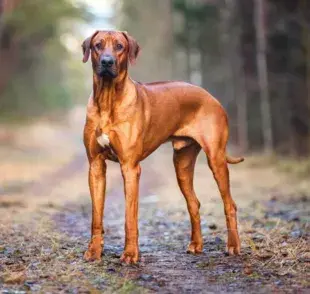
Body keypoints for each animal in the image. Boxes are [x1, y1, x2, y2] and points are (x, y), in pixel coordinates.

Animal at [81, 30, 245, 264]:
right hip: (182, 164)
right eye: (98, 45)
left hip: (216, 158)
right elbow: (96, 216)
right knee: (194, 203)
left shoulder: (130, 168)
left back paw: (233, 246)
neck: (107, 99)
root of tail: (211, 96)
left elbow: (129, 217)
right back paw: (196, 245)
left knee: (229, 204)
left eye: (120, 46)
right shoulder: (95, 166)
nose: (107, 61)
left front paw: (130, 254)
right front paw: (94, 251)